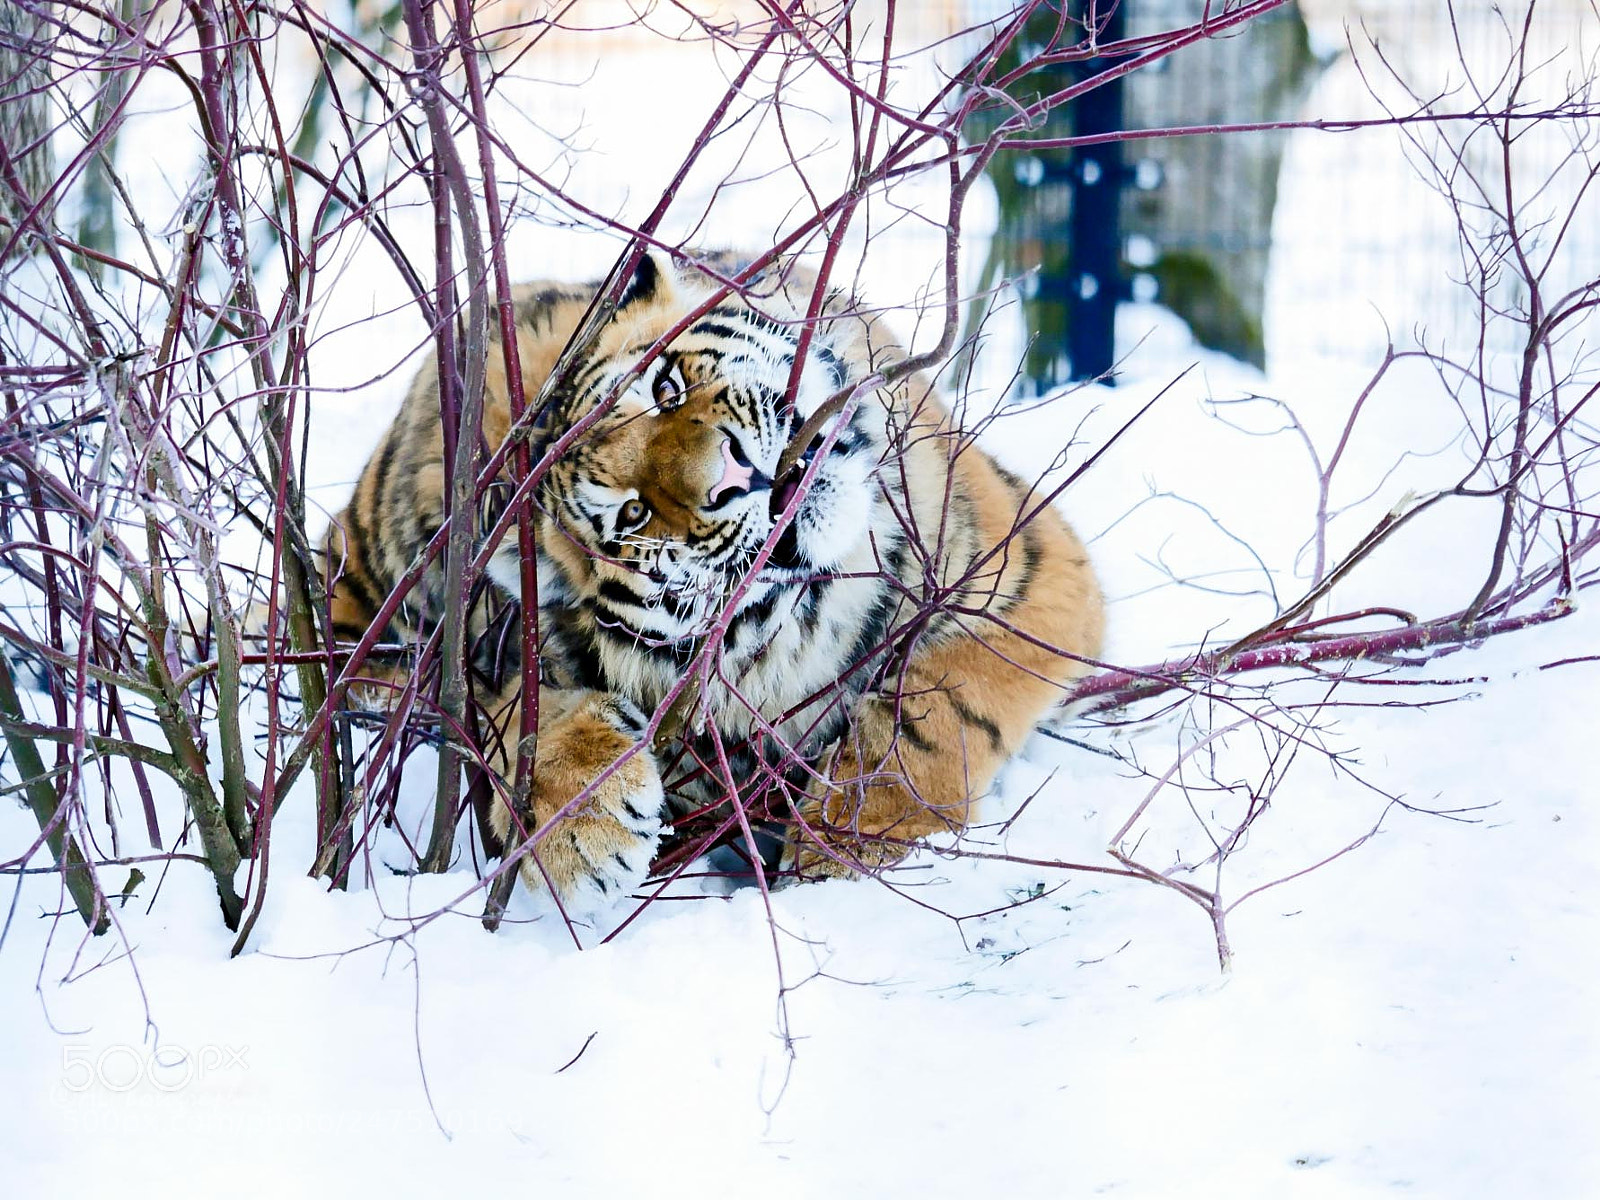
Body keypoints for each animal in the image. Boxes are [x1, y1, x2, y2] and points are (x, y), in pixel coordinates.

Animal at [324, 249, 1104, 912]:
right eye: (632, 514)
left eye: (666, 388)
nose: (735, 475)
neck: (811, 609)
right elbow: (524, 722)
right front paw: (586, 831)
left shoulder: (1030, 563)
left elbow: (937, 712)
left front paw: (849, 848)